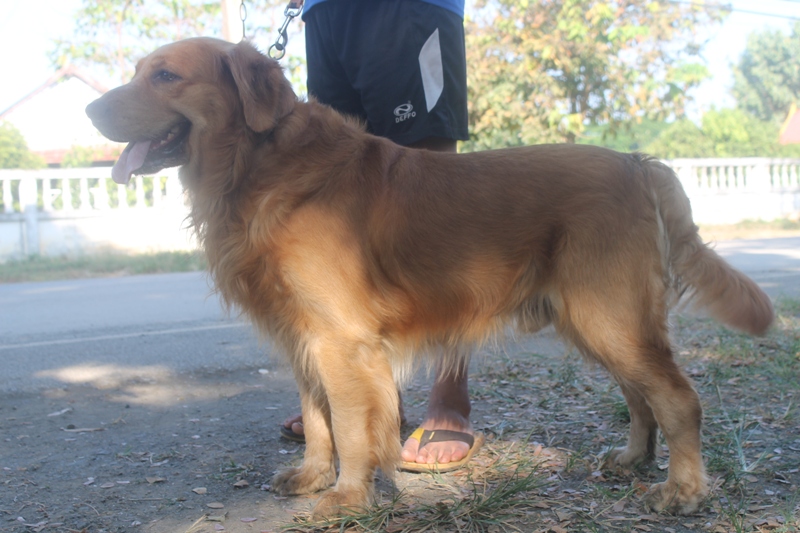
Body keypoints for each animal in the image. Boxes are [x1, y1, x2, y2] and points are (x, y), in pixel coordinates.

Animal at [86, 37, 773, 519]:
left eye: (166, 75)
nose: (89, 107)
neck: (259, 163)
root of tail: (639, 161)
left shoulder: (343, 341)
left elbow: (353, 426)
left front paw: (347, 496)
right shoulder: (302, 336)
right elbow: (317, 419)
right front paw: (312, 475)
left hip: (610, 316)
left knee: (678, 398)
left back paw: (682, 491)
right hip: (595, 321)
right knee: (640, 397)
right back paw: (633, 460)